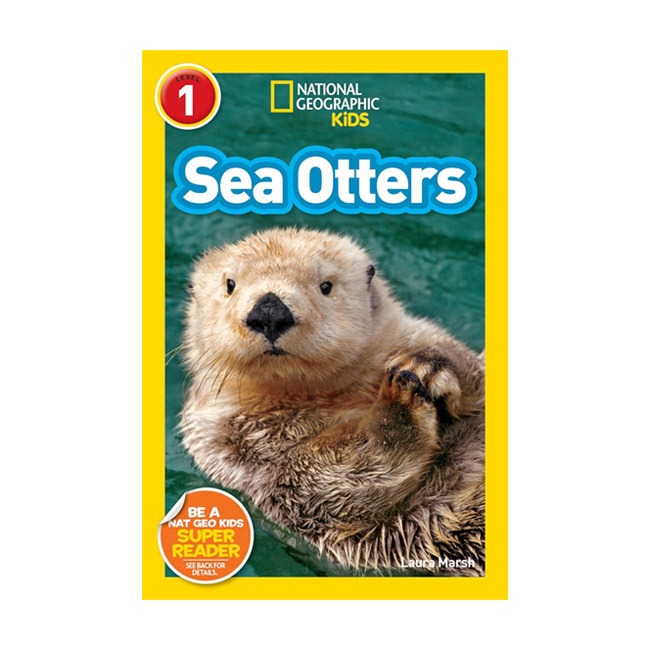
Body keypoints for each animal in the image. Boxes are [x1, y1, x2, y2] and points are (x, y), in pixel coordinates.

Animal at [180, 227, 485, 576]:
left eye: (326, 285)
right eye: (230, 284)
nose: (269, 312)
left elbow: (475, 371)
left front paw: (428, 365)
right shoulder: (234, 447)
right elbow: (330, 477)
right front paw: (400, 401)